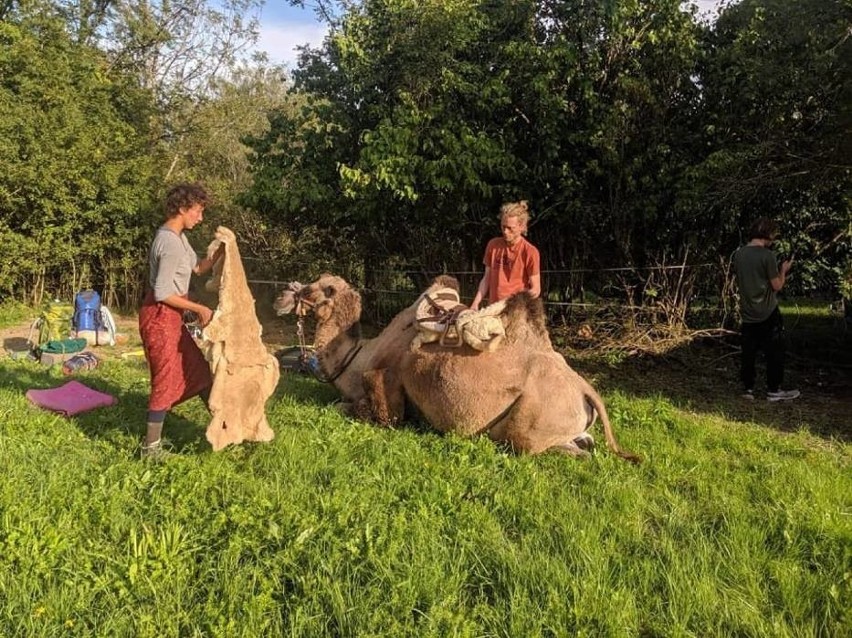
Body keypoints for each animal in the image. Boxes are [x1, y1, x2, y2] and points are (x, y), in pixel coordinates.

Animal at [276, 276, 644, 464]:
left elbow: (350, 408)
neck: (357, 360)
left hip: (529, 426)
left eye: (313, 288)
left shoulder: (386, 394)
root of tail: (586, 389)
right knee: (585, 441)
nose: (281, 297)